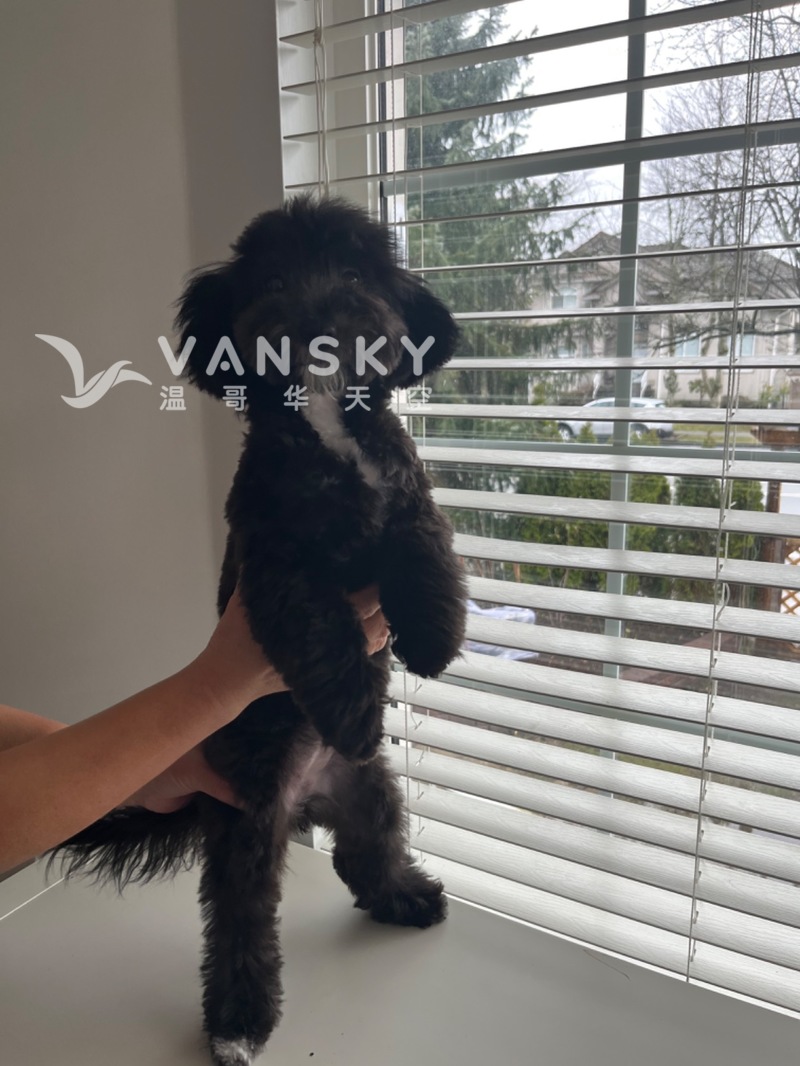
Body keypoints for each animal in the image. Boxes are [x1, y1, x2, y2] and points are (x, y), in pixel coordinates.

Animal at [52, 195, 468, 1066]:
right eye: (273, 280)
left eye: (352, 274)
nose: (315, 316)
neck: (327, 425)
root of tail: (305, 799)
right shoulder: (271, 561)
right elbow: (319, 622)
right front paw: (354, 707)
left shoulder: (406, 494)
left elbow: (426, 545)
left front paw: (434, 635)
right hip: (246, 829)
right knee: (241, 925)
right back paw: (238, 1022)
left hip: (373, 795)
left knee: (367, 855)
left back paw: (405, 896)